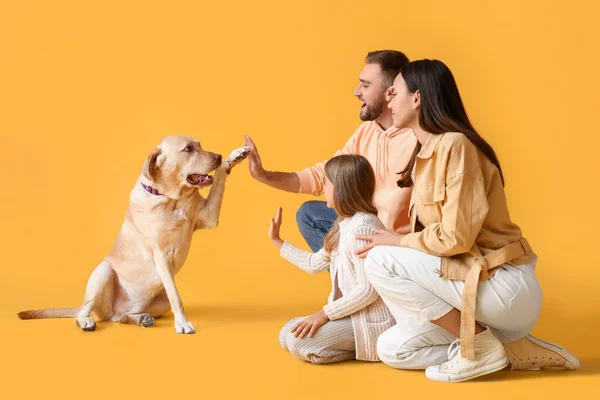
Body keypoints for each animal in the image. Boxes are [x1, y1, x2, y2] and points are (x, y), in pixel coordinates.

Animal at [18, 136, 248, 332]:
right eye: (188, 149)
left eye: (200, 145)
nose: (218, 156)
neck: (171, 199)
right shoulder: (161, 255)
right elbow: (177, 297)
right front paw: (182, 324)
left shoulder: (209, 216)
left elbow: (219, 179)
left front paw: (234, 156)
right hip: (104, 270)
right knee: (85, 311)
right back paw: (86, 321)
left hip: (158, 301)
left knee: (121, 317)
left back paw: (140, 318)